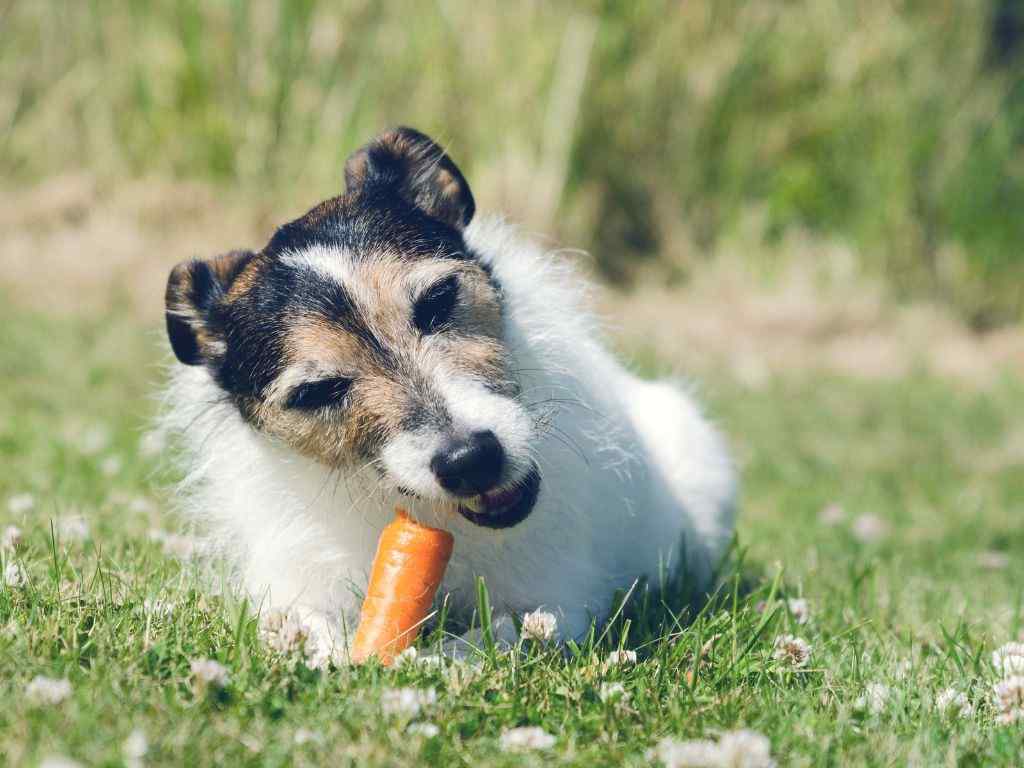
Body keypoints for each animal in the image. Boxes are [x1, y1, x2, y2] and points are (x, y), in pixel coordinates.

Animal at [161, 128, 737, 663]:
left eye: (438, 300)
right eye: (317, 391)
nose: (471, 460)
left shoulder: (556, 599)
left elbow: (499, 635)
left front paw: (437, 661)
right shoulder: (296, 584)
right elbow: (300, 621)